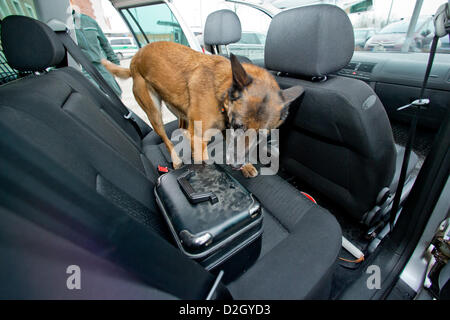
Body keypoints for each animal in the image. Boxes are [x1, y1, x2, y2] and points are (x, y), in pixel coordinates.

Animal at [102, 41, 302, 176]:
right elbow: (204, 156)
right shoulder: (202, 136)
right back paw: (176, 159)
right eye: (238, 126)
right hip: (154, 112)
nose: (237, 165)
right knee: (166, 138)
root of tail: (134, 59)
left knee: (182, 128)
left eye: (262, 135)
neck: (221, 91)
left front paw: (246, 166)